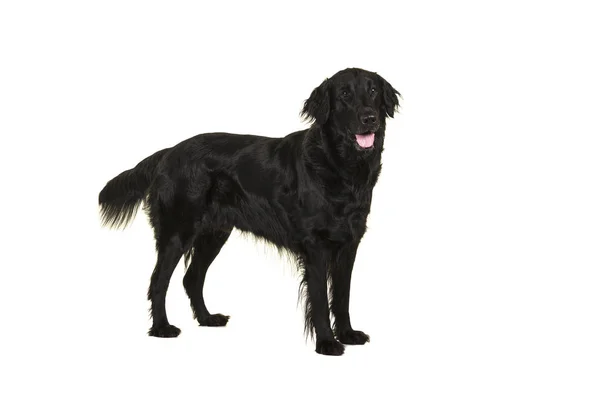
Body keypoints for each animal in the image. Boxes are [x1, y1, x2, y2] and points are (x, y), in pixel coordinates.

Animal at [99, 67, 398, 354]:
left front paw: (347, 334)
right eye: (345, 94)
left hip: (214, 233)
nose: (369, 118)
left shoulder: (349, 244)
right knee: (159, 282)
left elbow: (342, 296)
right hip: (177, 232)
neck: (339, 166)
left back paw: (207, 319)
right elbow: (321, 301)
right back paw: (162, 328)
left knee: (191, 278)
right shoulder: (316, 246)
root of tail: (169, 152)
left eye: (373, 91)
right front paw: (326, 343)